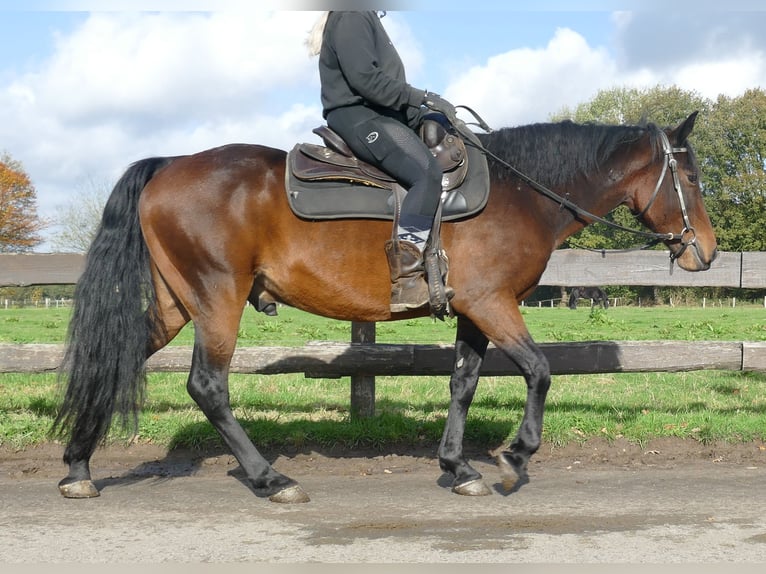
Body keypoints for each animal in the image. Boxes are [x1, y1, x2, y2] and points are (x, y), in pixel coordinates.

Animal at [54, 111, 720, 504]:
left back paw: (79, 466)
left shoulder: (473, 310)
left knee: (116, 360)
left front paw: (458, 467)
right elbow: (539, 370)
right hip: (218, 299)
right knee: (208, 386)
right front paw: (514, 456)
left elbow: (463, 383)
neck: (520, 194)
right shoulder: (493, 302)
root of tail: (168, 165)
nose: (706, 252)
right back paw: (271, 478)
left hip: (178, 303)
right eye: (690, 177)